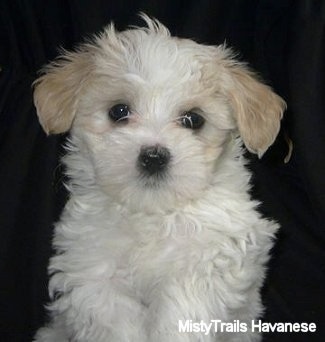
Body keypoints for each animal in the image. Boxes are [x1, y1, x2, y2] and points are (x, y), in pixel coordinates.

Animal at [33, 14, 284, 342]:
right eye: (119, 111)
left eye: (193, 119)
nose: (153, 156)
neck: (153, 213)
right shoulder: (93, 272)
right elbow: (114, 321)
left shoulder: (205, 263)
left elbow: (181, 313)